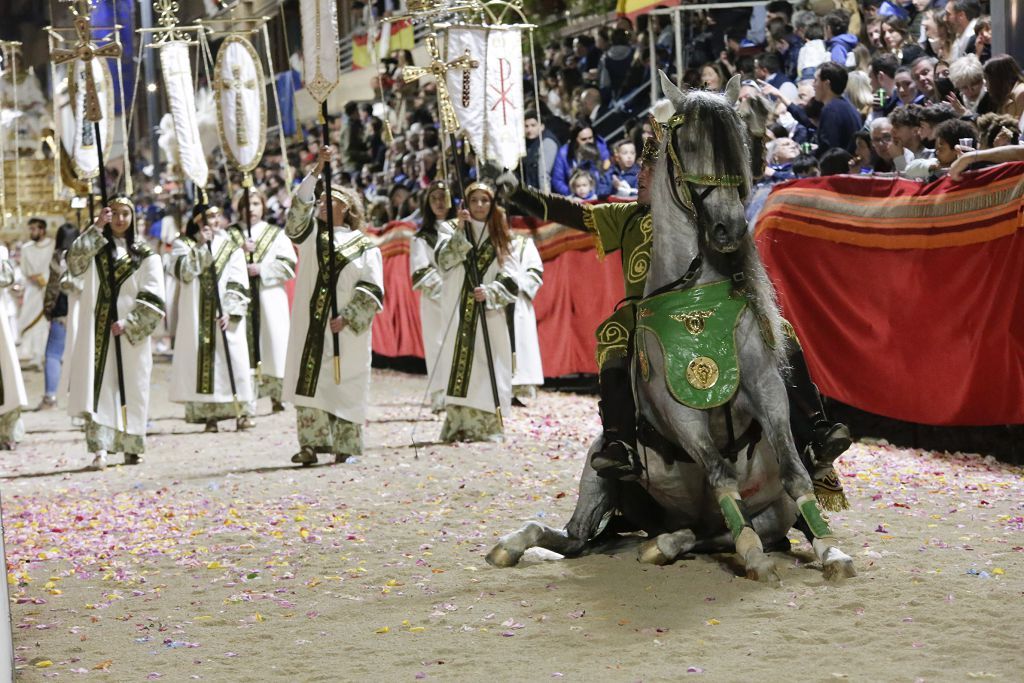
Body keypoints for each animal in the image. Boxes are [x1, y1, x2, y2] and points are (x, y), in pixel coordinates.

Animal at [487, 73, 856, 581]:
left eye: (737, 145)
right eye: (690, 143)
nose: (728, 229)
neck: (695, 302)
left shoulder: (767, 390)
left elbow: (794, 470)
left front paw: (830, 550)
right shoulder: (682, 415)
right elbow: (720, 472)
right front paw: (757, 560)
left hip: (766, 513)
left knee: (709, 533)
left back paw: (668, 542)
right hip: (598, 479)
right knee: (575, 537)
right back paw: (516, 543)